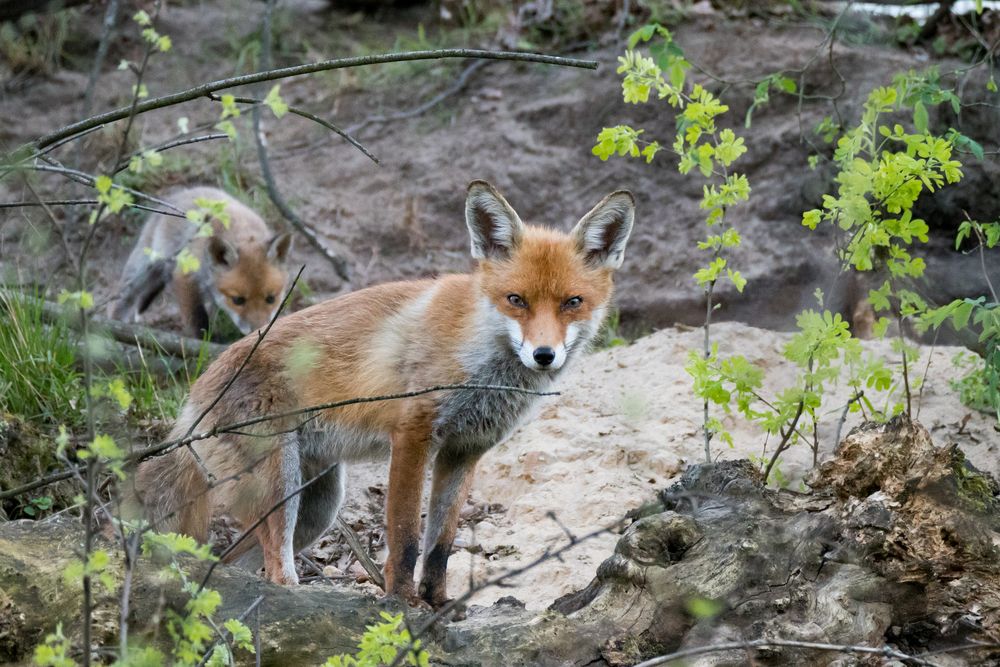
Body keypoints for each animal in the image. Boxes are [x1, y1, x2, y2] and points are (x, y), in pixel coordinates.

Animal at [113, 188, 294, 340]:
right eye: (238, 300)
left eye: (271, 298)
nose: (259, 332)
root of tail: (182, 192)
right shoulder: (185, 275)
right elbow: (197, 320)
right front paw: (203, 344)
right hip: (142, 271)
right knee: (120, 303)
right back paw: (115, 329)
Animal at [135, 180, 632, 608]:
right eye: (516, 300)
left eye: (572, 303)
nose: (544, 355)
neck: (482, 359)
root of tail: (192, 399)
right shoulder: (412, 435)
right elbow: (406, 538)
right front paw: (402, 604)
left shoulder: (465, 450)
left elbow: (440, 544)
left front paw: (439, 605)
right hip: (283, 487)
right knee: (276, 567)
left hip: (317, 507)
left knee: (232, 564)